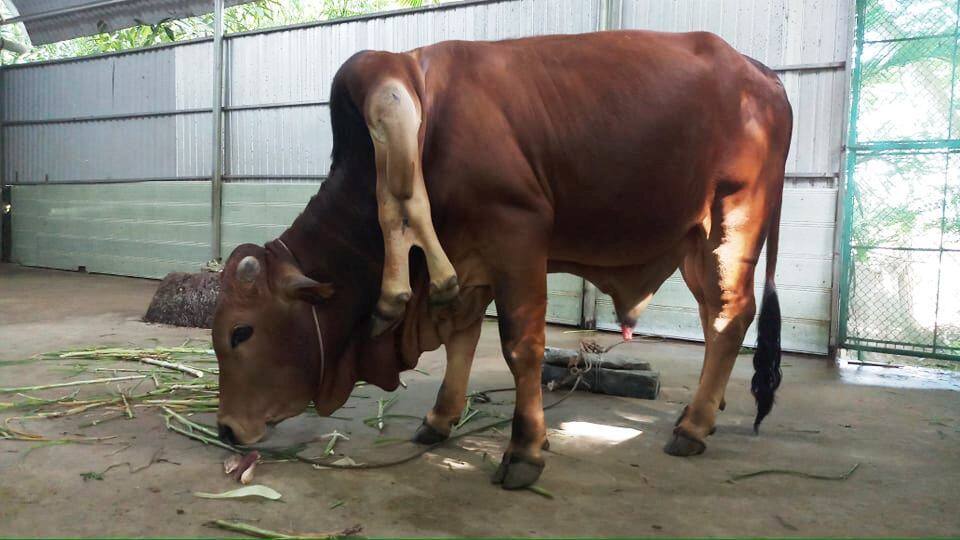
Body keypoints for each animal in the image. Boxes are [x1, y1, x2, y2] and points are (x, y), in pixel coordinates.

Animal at [214, 29, 792, 490]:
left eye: (241, 332)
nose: (225, 428)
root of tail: (761, 74)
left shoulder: (517, 236)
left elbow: (520, 346)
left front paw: (524, 449)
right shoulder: (469, 262)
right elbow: (461, 339)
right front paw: (440, 418)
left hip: (733, 221)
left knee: (730, 316)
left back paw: (692, 425)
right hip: (695, 242)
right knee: (714, 318)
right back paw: (704, 412)